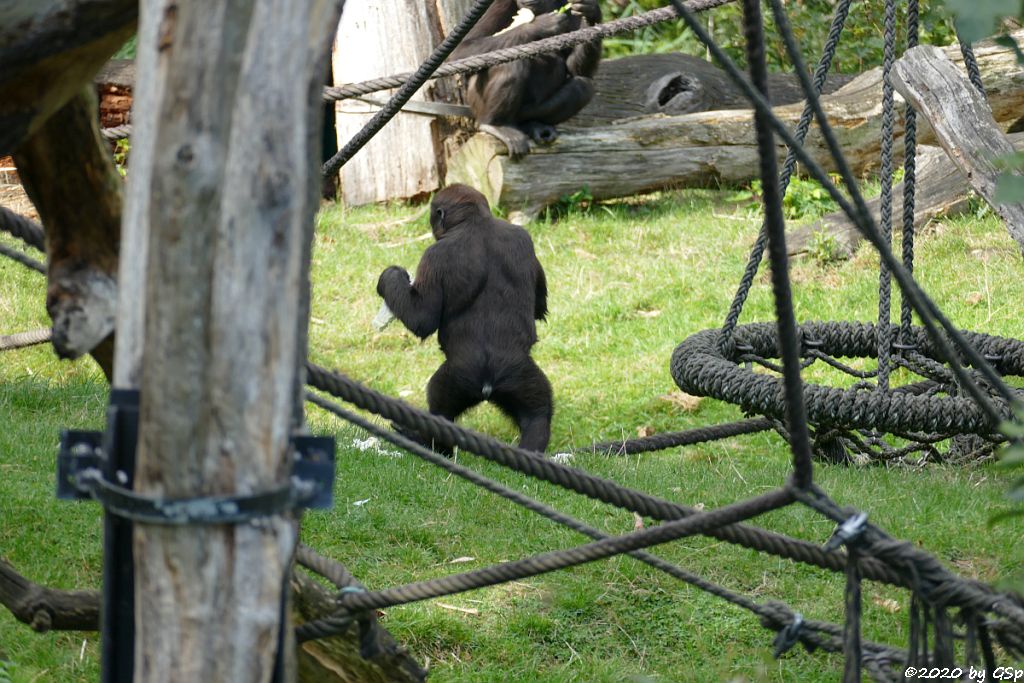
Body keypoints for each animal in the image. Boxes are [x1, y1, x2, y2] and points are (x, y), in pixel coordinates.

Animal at [376, 185, 552, 454]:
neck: (475, 222)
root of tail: (489, 384)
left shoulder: (434, 255)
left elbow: (422, 319)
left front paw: (390, 277)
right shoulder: (524, 238)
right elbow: (539, 306)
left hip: (459, 376)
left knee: (441, 406)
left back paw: (433, 444)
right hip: (520, 374)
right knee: (538, 413)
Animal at [452, 0, 602, 160]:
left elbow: (578, 69)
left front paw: (592, 14)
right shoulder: (500, 3)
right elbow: (463, 49)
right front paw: (539, 25)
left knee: (582, 87)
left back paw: (531, 125)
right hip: (476, 104)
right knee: (509, 62)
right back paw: (496, 125)